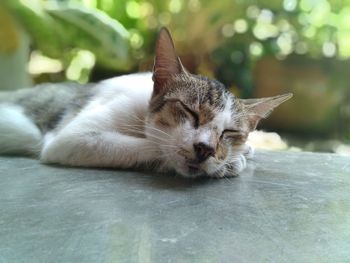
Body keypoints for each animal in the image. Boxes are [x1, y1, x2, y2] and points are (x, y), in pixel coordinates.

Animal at [0, 27, 292, 178]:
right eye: (190, 112)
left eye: (230, 132)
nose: (206, 149)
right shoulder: (72, 138)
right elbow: (154, 146)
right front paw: (229, 161)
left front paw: (242, 150)